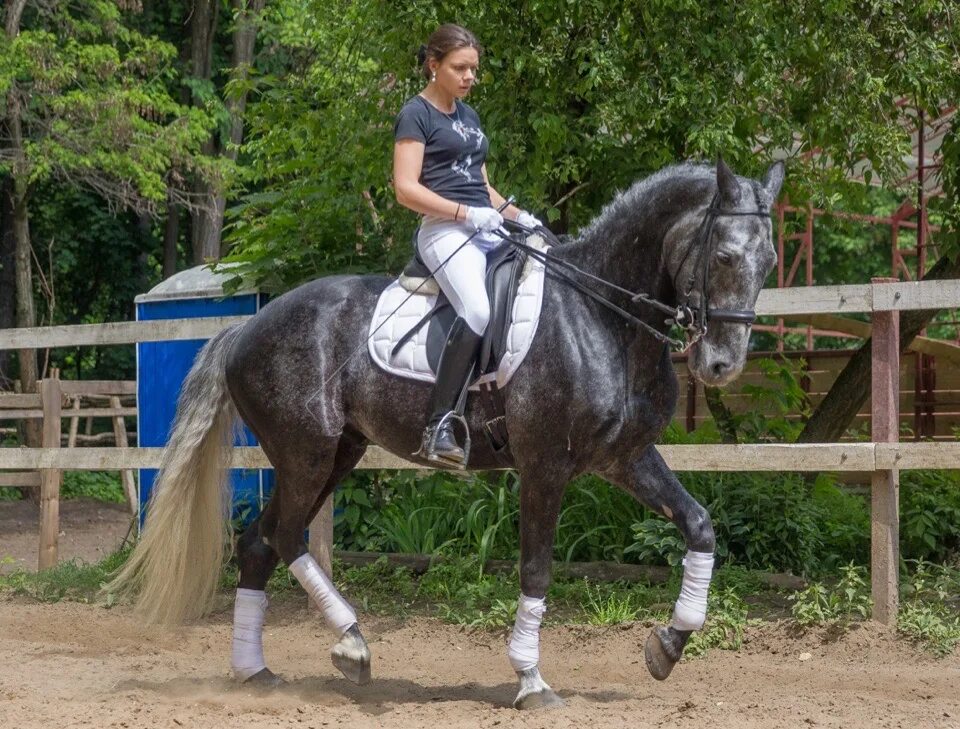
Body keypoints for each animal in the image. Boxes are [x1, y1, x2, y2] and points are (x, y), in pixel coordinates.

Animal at [110, 156, 788, 708]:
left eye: (771, 262)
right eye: (724, 257)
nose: (722, 365)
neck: (599, 315)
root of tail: (244, 330)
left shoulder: (625, 458)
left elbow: (699, 525)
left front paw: (667, 646)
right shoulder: (545, 466)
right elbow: (536, 570)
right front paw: (531, 681)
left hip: (337, 452)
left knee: (260, 542)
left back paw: (255, 672)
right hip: (306, 452)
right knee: (282, 534)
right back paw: (352, 645)